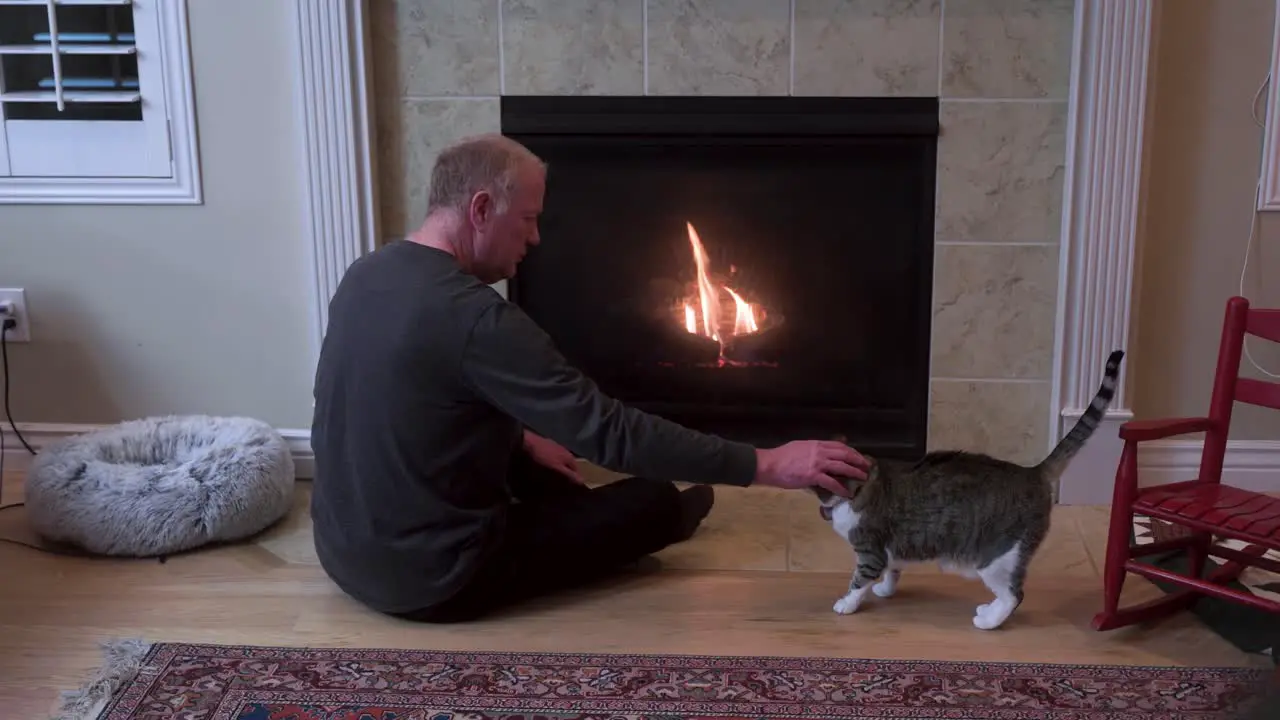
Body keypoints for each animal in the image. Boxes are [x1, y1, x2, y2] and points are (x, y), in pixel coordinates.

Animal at [814, 348, 1126, 627]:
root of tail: (1032, 471)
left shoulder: (871, 550)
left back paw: (987, 621)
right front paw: (886, 590)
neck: (862, 483)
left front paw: (846, 604)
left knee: (1015, 595)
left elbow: (859, 580)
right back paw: (987, 609)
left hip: (996, 559)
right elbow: (894, 571)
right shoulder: (894, 549)